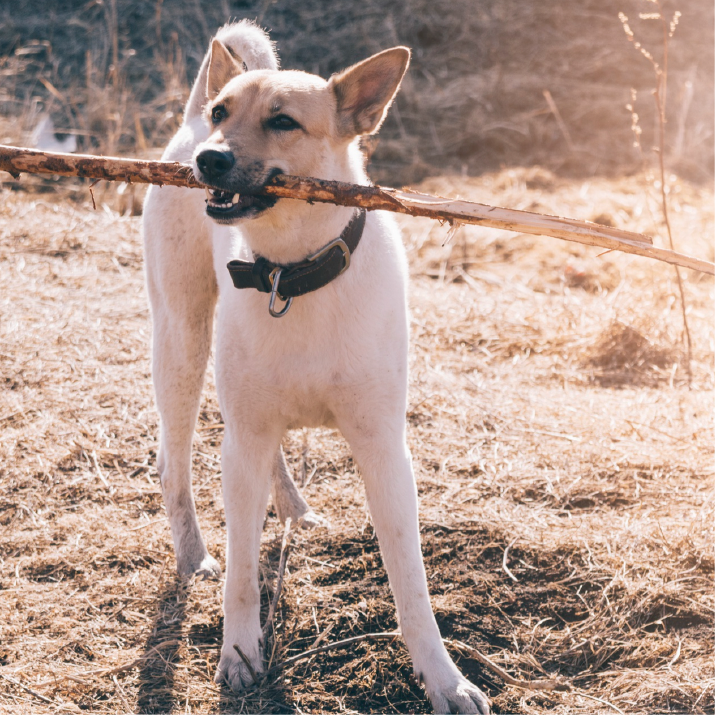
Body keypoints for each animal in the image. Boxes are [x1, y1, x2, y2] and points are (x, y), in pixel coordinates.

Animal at [145, 19, 492, 712]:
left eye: (283, 121)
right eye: (227, 113)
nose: (210, 160)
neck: (292, 271)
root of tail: (187, 121)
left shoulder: (383, 449)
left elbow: (410, 581)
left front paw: (443, 679)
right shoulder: (244, 436)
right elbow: (243, 572)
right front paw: (239, 653)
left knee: (264, 460)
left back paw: (294, 508)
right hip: (182, 343)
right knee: (177, 464)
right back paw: (195, 555)